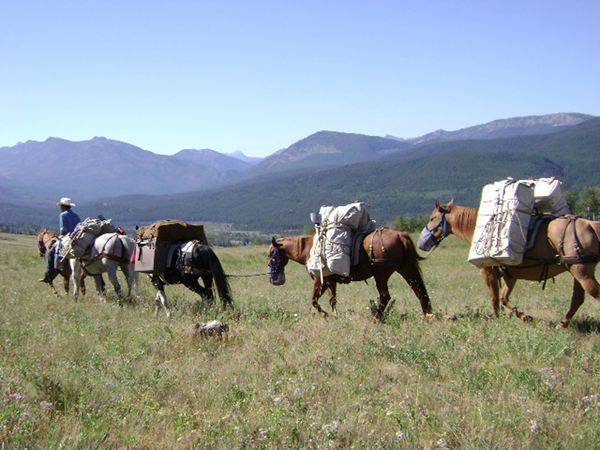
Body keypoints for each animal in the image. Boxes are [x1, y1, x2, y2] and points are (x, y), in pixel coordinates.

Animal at [268, 229, 432, 320]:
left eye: (271, 254)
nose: (271, 271)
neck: (309, 250)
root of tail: (400, 235)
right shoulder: (330, 281)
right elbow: (332, 299)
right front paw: (334, 315)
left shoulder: (320, 281)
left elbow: (314, 300)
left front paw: (326, 315)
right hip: (407, 269)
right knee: (420, 291)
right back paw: (428, 316)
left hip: (381, 275)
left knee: (385, 296)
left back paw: (376, 318)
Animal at [420, 200, 600, 326]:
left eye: (432, 218)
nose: (422, 243)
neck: (482, 231)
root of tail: (589, 223)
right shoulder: (509, 275)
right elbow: (504, 298)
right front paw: (525, 317)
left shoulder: (488, 272)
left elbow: (495, 299)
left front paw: (498, 322)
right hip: (577, 271)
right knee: (577, 299)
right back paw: (562, 324)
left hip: (581, 272)